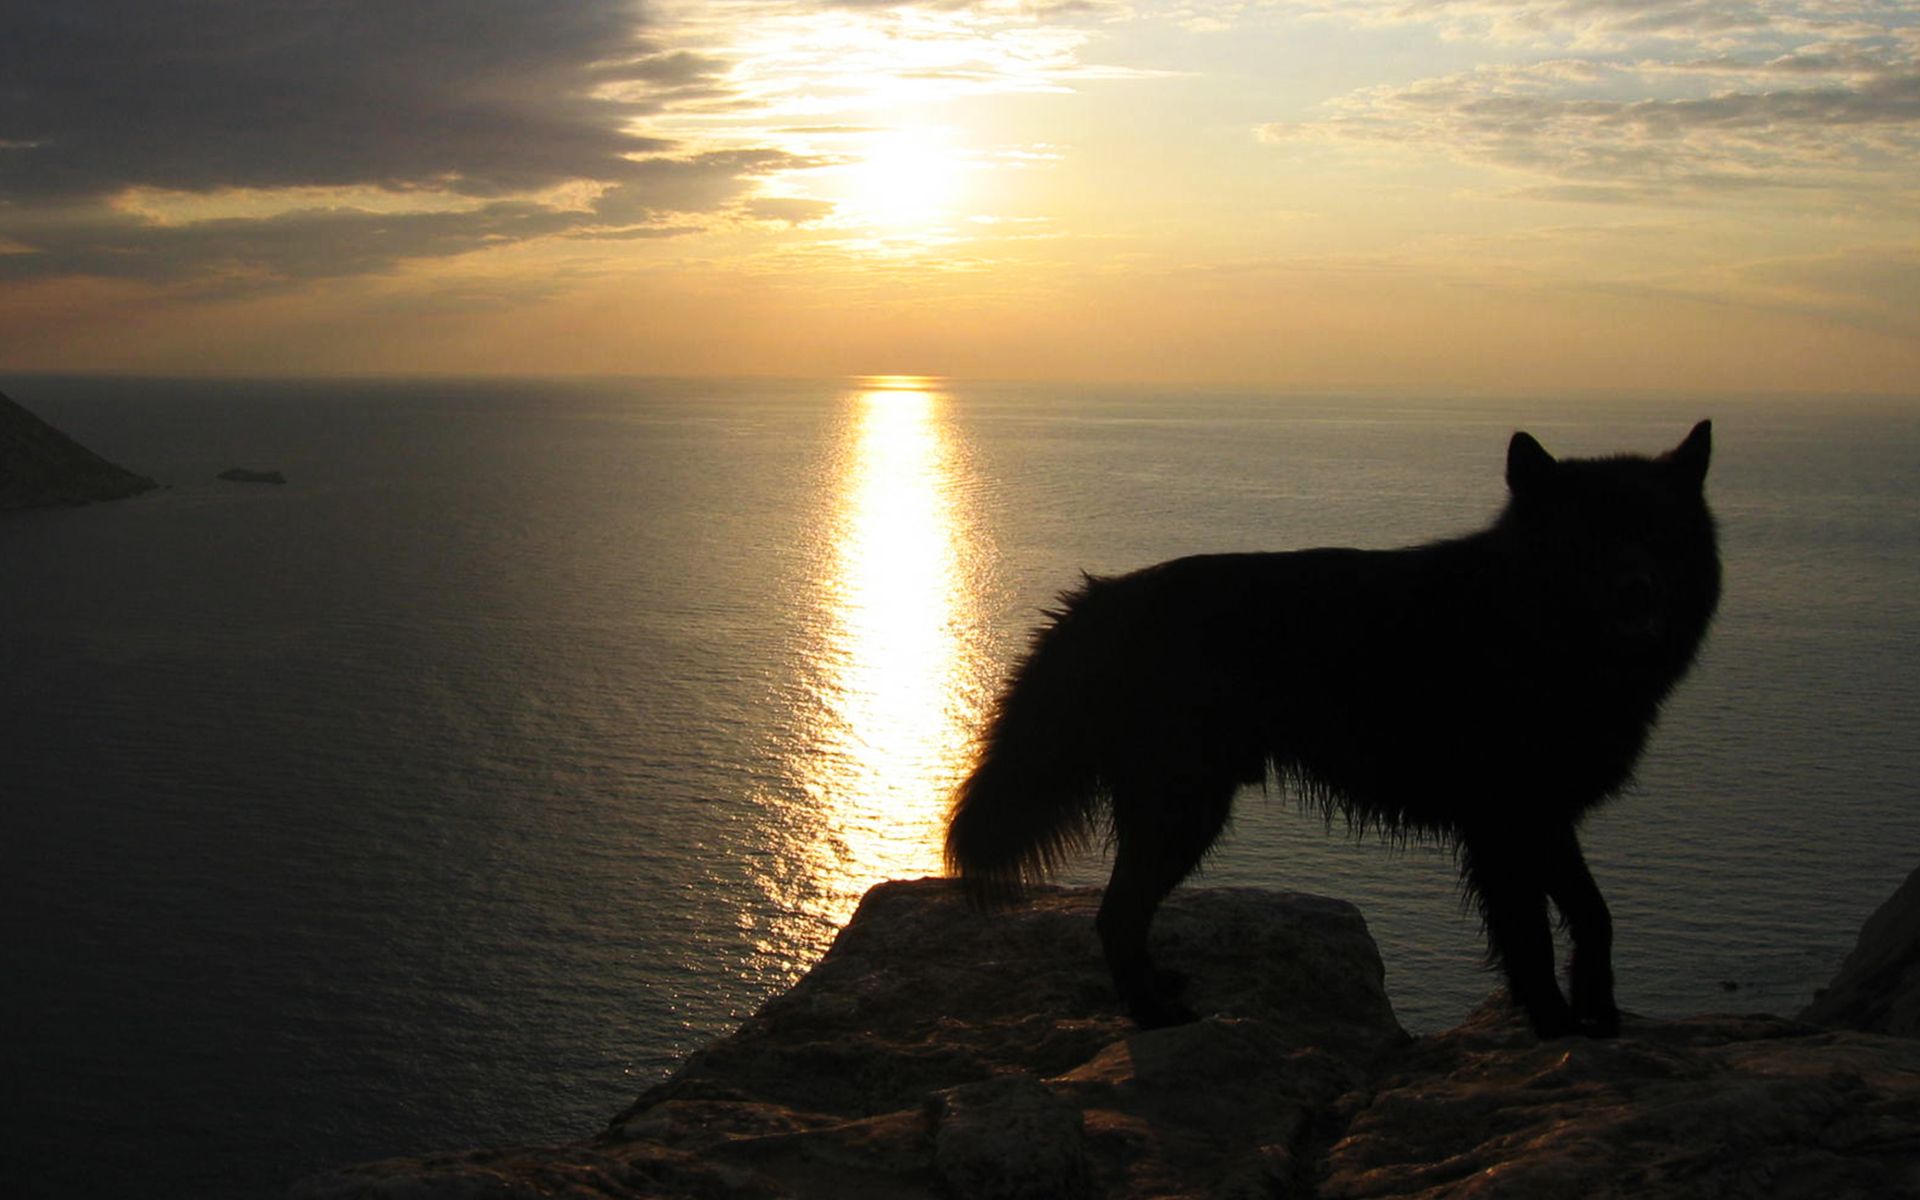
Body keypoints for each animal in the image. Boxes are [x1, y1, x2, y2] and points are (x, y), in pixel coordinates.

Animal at [952, 424, 1720, 1036]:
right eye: (1587, 541)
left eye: (1660, 536)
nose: (1638, 591)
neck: (1524, 626)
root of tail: (1100, 598)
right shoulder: (1505, 823)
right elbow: (1531, 939)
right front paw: (1557, 1027)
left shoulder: (1545, 817)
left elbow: (1595, 914)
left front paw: (1600, 1013)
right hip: (1183, 810)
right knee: (1116, 915)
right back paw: (1153, 1015)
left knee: (1126, 916)